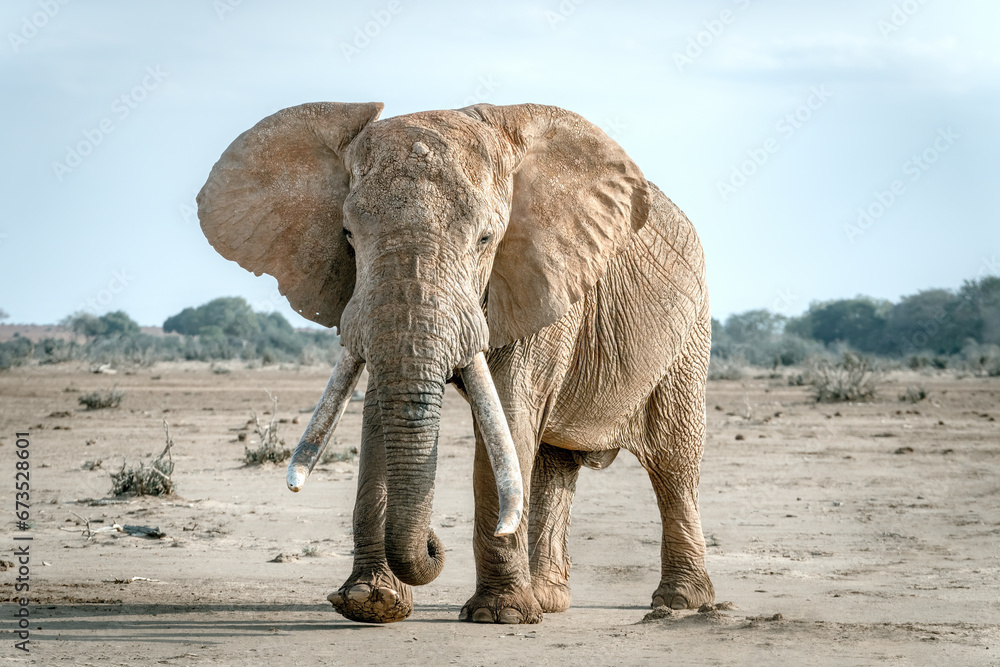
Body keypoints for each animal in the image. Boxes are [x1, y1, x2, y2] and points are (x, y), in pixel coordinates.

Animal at [197, 101, 714, 624]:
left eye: (486, 239)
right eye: (347, 236)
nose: (432, 541)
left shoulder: (544, 280)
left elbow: (507, 415)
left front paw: (500, 616)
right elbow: (379, 415)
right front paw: (369, 603)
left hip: (690, 333)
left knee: (673, 462)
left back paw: (679, 602)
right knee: (556, 463)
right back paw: (549, 599)